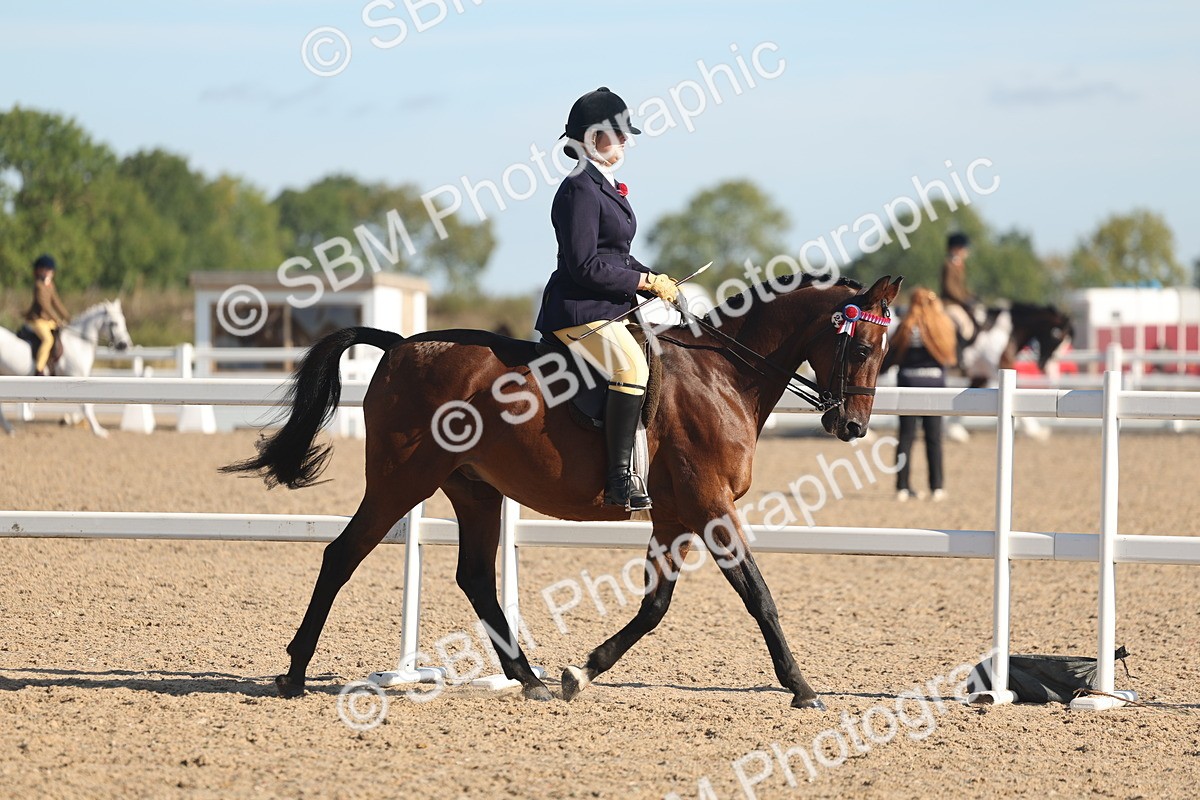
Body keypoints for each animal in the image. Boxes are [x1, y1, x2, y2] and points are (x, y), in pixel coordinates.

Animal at [0, 300, 133, 437]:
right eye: (114, 323)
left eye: (123, 320)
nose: (124, 345)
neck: (79, 342)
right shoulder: (75, 376)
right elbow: (86, 406)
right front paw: (98, 430)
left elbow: (89, 404)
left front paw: (69, 420)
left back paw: (9, 429)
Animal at [223, 274, 902, 710]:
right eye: (863, 346)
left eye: (885, 348)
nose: (852, 426)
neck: (724, 375)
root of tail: (400, 346)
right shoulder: (711, 507)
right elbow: (758, 595)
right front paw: (803, 688)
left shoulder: (675, 516)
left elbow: (654, 607)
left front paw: (583, 671)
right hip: (401, 481)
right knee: (342, 555)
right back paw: (294, 673)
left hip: (474, 491)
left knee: (474, 576)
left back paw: (529, 678)